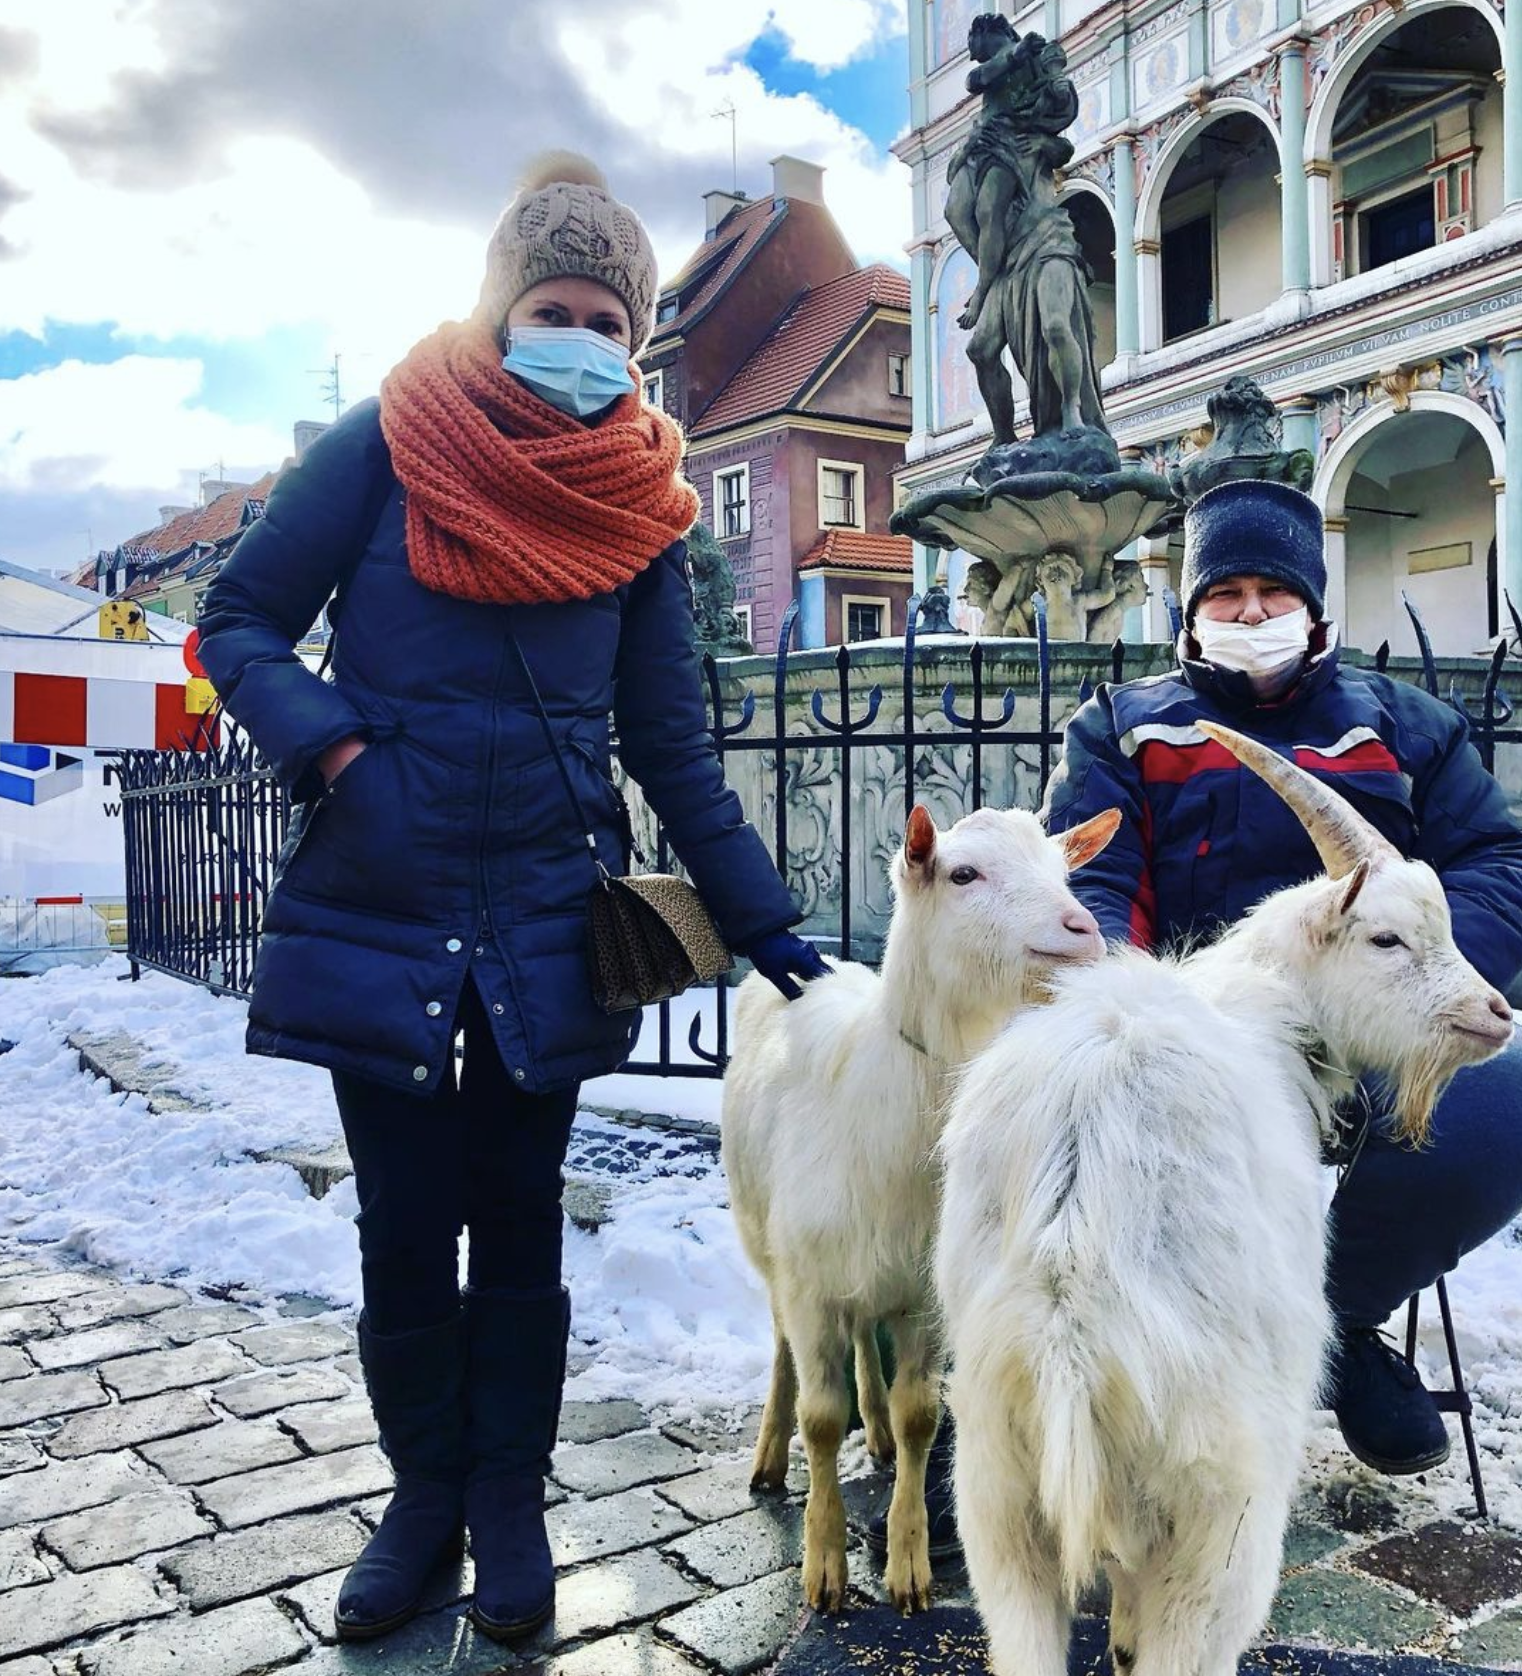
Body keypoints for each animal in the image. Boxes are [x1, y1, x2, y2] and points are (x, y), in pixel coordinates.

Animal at [724, 804, 1119, 1615]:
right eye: (962, 873)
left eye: (1062, 869)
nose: (1080, 928)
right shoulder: (810, 1282)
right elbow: (821, 1417)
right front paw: (823, 1566)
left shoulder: (930, 1298)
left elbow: (921, 1416)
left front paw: (908, 1564)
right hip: (765, 1239)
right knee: (781, 1344)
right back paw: (771, 1456)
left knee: (865, 1338)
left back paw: (872, 1429)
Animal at [931, 727, 1515, 1676]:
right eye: (1387, 939)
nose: (1496, 1014)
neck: (1270, 1009)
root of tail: (1069, 1308)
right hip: (1221, 1515)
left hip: (1000, 1498)